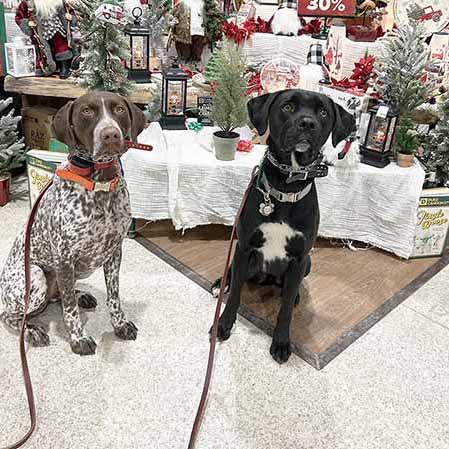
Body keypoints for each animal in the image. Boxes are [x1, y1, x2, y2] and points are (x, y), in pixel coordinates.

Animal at [0, 92, 145, 354]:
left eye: (119, 109)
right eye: (86, 111)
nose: (110, 134)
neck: (99, 183)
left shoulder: (114, 253)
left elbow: (114, 297)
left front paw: (120, 325)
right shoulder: (64, 259)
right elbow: (69, 310)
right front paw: (78, 338)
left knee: (60, 295)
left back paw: (80, 296)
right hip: (36, 277)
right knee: (13, 316)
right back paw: (32, 330)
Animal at [215, 88, 356, 364]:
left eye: (323, 113)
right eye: (288, 107)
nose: (307, 123)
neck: (287, 185)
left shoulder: (300, 258)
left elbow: (287, 307)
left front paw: (281, 342)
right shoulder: (244, 247)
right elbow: (235, 294)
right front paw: (224, 324)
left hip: (307, 264)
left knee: (291, 288)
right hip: (243, 258)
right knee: (233, 274)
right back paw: (219, 284)